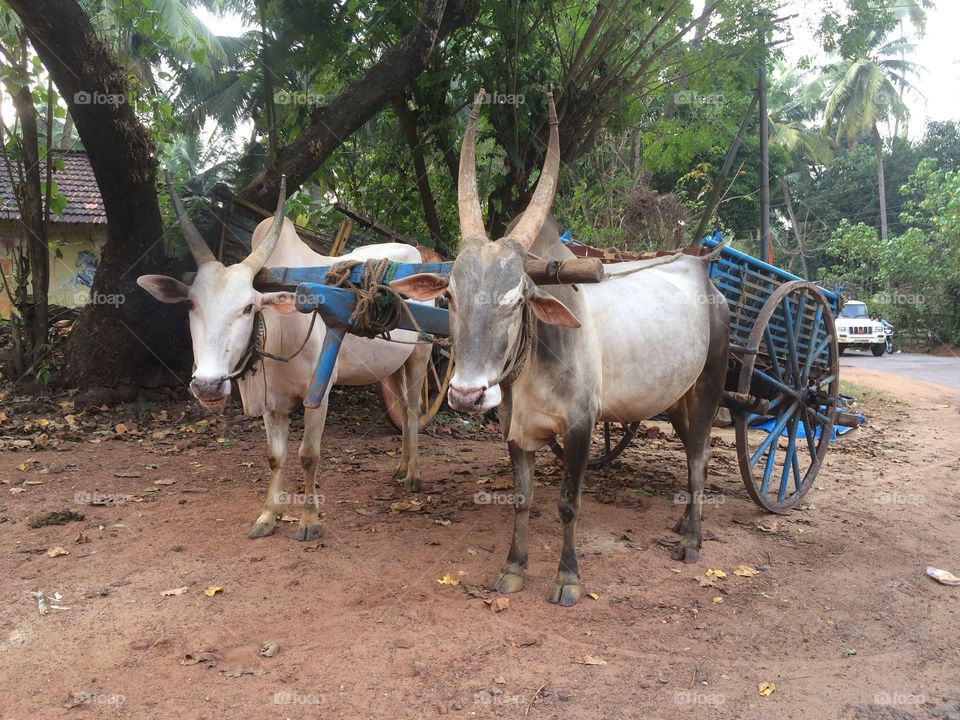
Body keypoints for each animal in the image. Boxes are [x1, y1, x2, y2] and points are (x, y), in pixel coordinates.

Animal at [137, 177, 431, 541]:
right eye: (191, 304)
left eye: (249, 307)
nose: (207, 385)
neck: (279, 328)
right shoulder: (271, 402)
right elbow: (275, 457)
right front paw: (267, 517)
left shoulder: (318, 395)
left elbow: (308, 456)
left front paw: (309, 520)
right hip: (390, 367)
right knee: (402, 409)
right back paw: (401, 467)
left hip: (420, 355)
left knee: (415, 411)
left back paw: (414, 475)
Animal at [391, 92, 729, 606]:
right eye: (448, 297)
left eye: (517, 301)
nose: (467, 395)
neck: (532, 366)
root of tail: (705, 275)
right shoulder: (515, 429)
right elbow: (523, 498)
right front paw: (513, 568)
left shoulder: (581, 427)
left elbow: (569, 504)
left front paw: (567, 577)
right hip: (676, 397)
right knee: (694, 446)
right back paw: (683, 522)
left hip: (709, 386)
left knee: (700, 456)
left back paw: (692, 539)